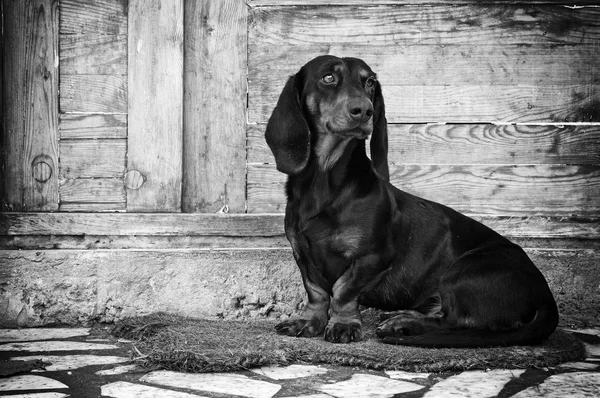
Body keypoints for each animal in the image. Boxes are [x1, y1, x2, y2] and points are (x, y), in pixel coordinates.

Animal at [264, 54, 560, 346]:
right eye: (328, 78)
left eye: (370, 82)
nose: (364, 111)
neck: (325, 183)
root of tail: (545, 295)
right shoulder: (301, 252)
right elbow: (316, 290)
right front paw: (308, 320)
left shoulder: (374, 257)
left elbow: (343, 289)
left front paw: (343, 323)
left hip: (463, 271)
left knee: (455, 322)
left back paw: (403, 324)